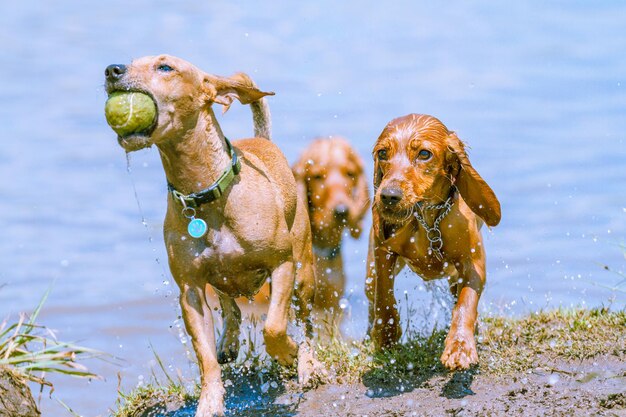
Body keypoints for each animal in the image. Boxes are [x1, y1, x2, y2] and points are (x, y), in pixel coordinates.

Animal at [105, 56, 320, 416]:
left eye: (165, 67)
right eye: (131, 61)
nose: (112, 70)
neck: (205, 193)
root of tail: (263, 140)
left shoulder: (283, 265)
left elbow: (274, 327)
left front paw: (289, 353)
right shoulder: (190, 290)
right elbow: (204, 356)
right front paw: (209, 401)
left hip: (304, 270)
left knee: (307, 321)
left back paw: (308, 363)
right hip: (222, 277)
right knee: (230, 305)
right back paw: (228, 342)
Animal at [364, 114, 500, 370]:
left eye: (424, 154)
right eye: (382, 153)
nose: (388, 196)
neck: (427, 222)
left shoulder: (473, 264)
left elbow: (465, 303)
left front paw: (460, 346)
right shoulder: (382, 251)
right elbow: (383, 296)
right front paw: (386, 336)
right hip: (369, 274)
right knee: (371, 297)